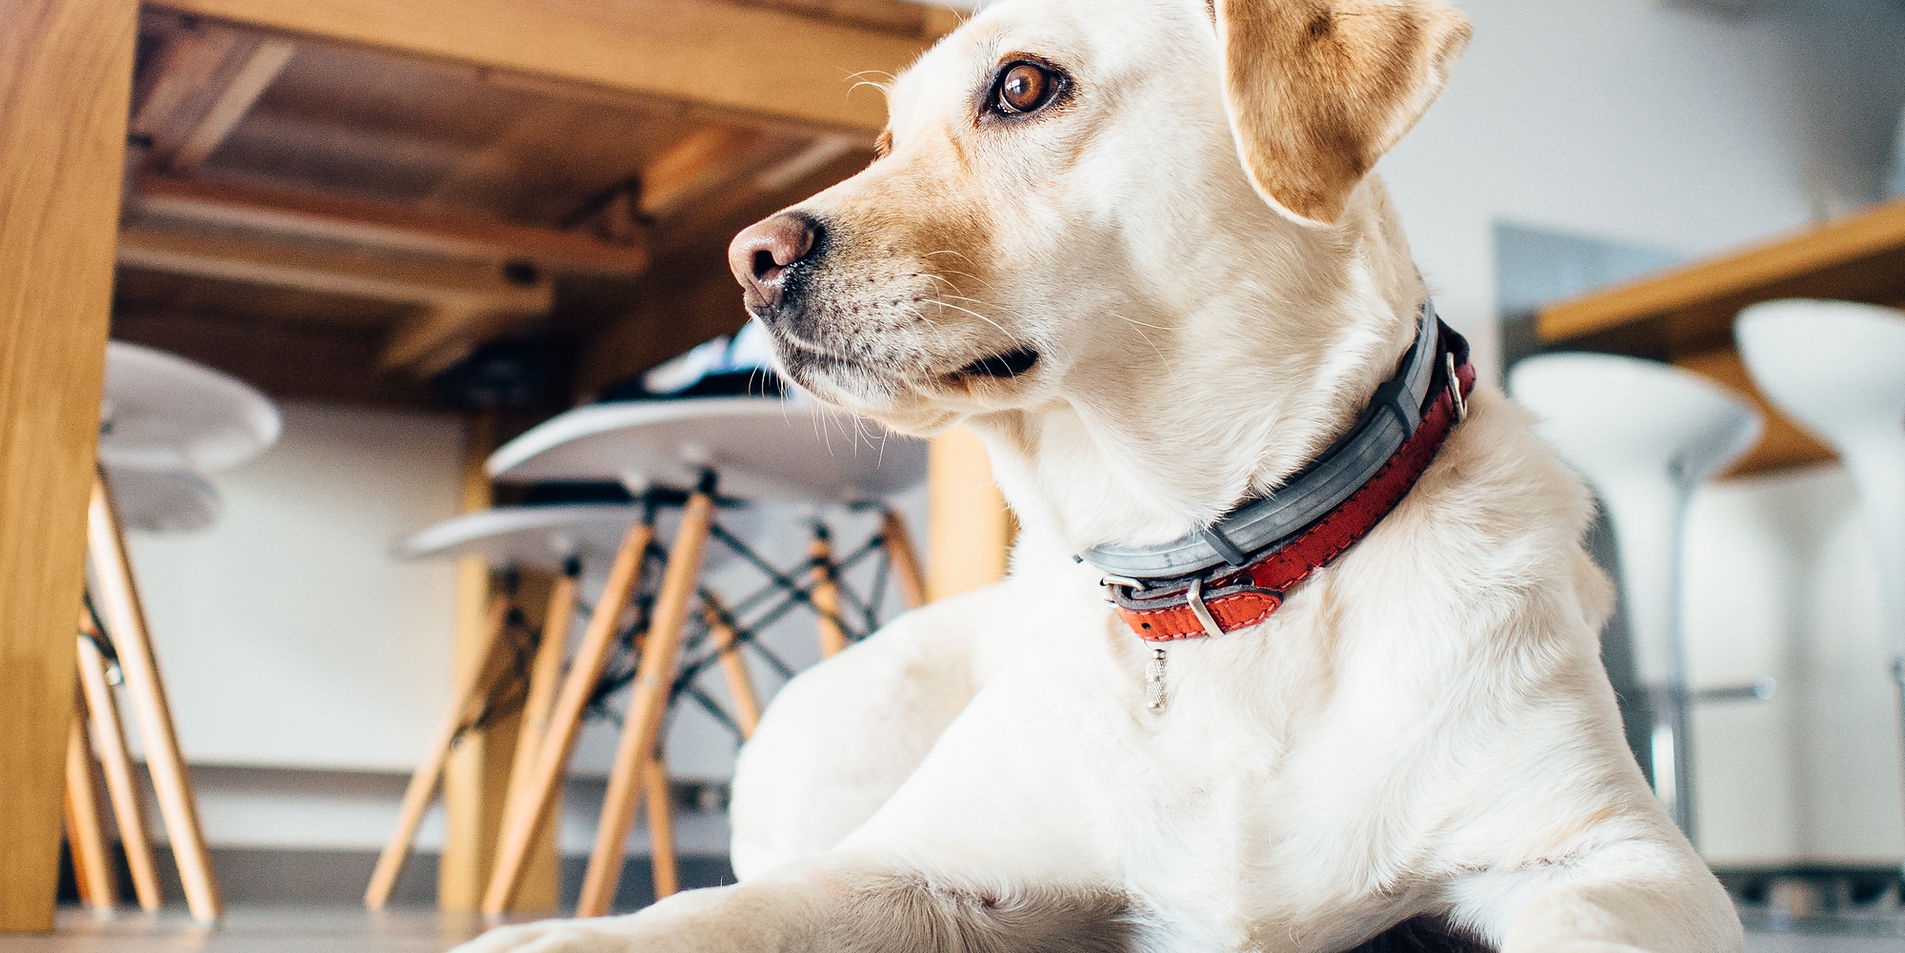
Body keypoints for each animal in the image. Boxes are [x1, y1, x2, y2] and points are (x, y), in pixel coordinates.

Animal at [461, 0, 1744, 949]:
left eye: (1024, 86)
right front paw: (552, 935)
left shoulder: (1616, 852)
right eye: (885, 143)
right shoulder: (920, 863)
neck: (1211, 575)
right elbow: (714, 912)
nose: (750, 259)